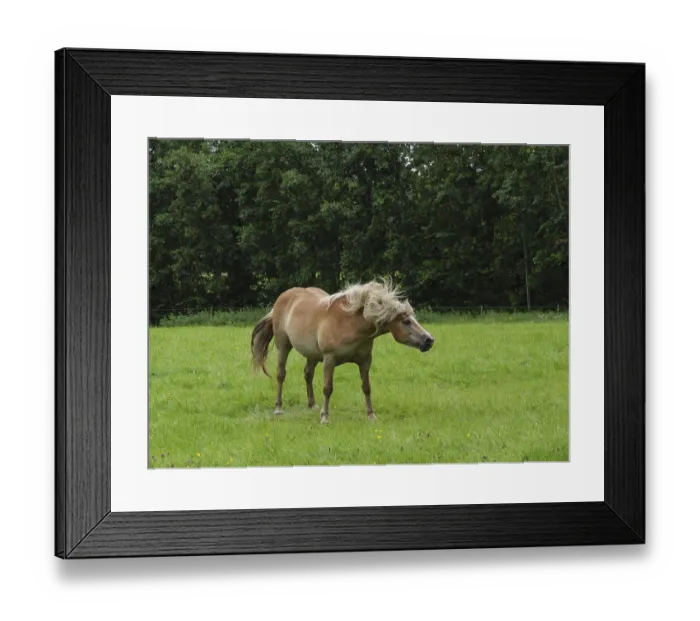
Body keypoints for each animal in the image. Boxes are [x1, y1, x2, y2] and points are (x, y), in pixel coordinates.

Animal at [250, 279, 435, 424]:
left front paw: (371, 415)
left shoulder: (365, 361)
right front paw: (325, 417)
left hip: (312, 355)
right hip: (283, 346)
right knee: (281, 375)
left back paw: (312, 405)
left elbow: (366, 387)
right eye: (406, 321)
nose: (429, 340)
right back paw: (278, 409)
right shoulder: (329, 359)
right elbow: (327, 388)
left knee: (308, 374)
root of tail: (283, 298)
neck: (351, 324)